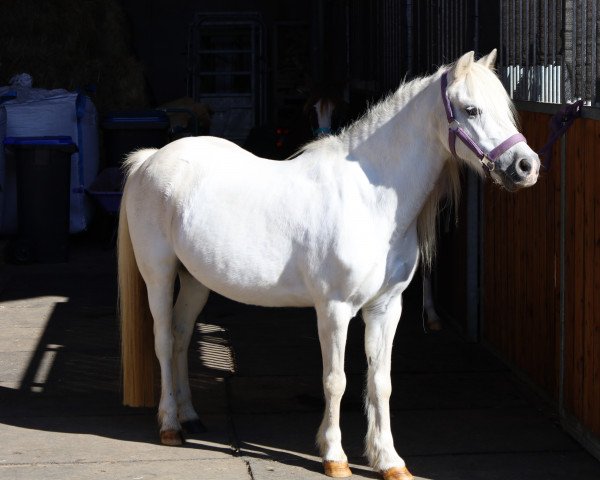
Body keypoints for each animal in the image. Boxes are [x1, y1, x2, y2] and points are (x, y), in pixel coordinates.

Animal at [117, 50, 540, 478]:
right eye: (471, 109)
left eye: (505, 108)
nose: (526, 166)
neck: (368, 198)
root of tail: (150, 160)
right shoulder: (334, 310)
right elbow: (335, 380)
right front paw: (335, 457)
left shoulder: (386, 308)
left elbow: (380, 381)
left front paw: (389, 461)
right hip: (159, 273)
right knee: (163, 339)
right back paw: (170, 425)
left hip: (195, 280)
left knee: (182, 336)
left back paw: (190, 416)